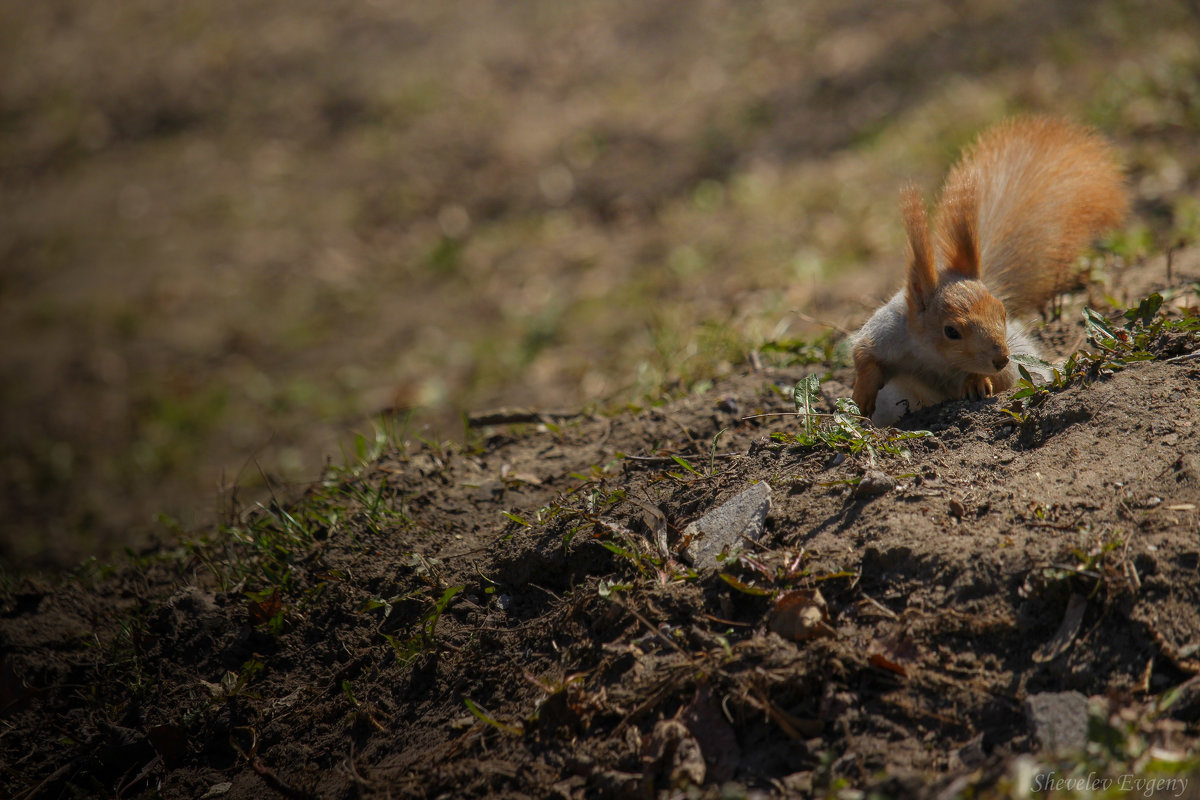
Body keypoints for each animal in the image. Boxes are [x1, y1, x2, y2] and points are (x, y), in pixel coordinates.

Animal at [849, 117, 1128, 424]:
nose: (1001, 358)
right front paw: (862, 394)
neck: (933, 357)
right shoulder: (887, 332)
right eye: (951, 331)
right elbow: (863, 353)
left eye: (1002, 313)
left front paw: (976, 381)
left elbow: (1002, 379)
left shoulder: (1009, 366)